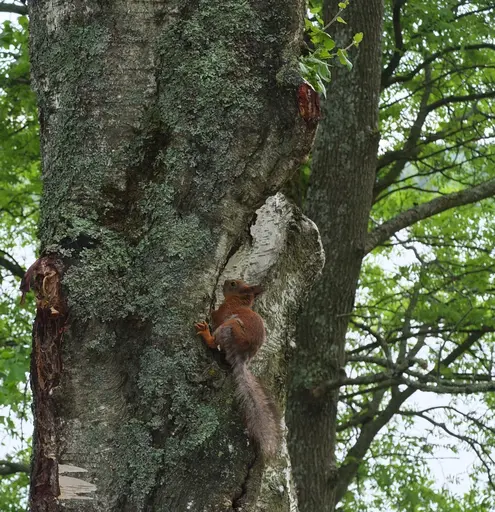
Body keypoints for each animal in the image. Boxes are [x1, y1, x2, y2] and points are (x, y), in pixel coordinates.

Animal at [196, 278, 280, 458]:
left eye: (234, 284)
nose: (225, 281)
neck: (238, 301)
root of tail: (242, 356)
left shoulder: (223, 311)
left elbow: (215, 314)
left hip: (229, 327)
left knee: (214, 343)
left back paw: (206, 334)